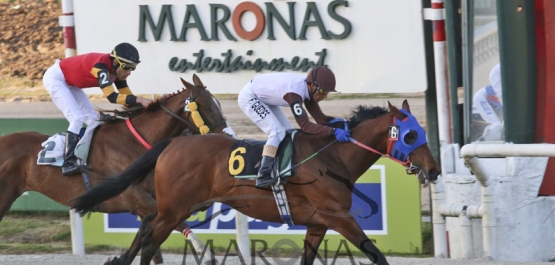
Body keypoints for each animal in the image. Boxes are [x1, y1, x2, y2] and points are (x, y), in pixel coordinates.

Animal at [0, 73, 230, 262]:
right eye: (207, 107)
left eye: (218, 104)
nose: (228, 136)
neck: (135, 142)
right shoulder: (139, 200)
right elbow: (176, 223)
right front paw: (205, 254)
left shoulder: (150, 201)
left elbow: (149, 240)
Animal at [74, 99, 440, 264]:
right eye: (410, 135)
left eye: (420, 132)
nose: (434, 170)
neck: (333, 157)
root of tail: (174, 142)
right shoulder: (339, 216)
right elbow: (376, 254)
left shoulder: (318, 222)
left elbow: (308, 257)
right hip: (175, 209)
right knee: (151, 241)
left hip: (179, 206)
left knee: (147, 227)